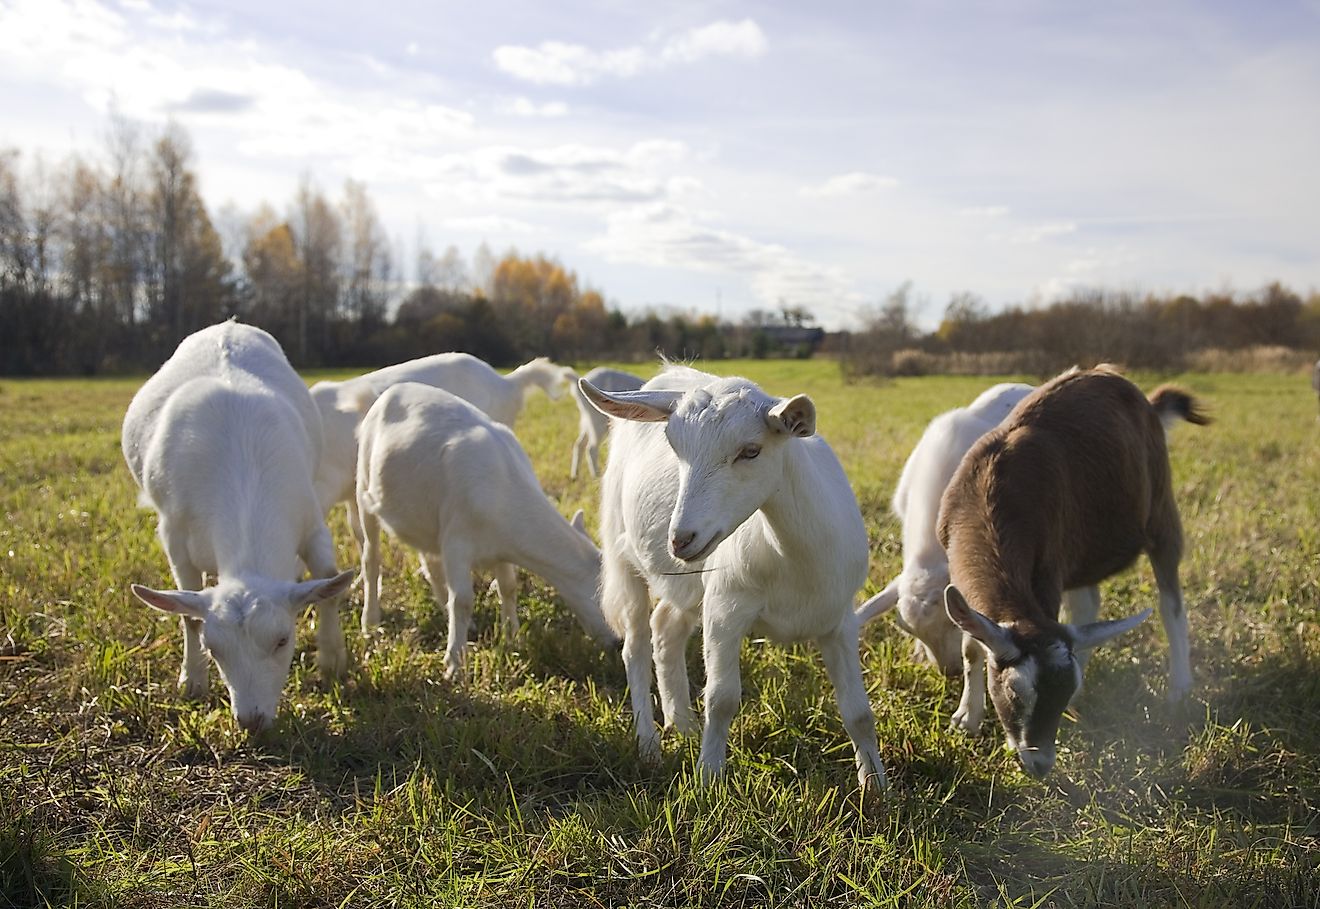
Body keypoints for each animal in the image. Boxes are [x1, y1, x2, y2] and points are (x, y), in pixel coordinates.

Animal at [122, 323, 356, 733]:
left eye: (283, 640)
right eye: (214, 649)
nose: (252, 719)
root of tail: (227, 325)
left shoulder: (311, 520)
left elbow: (328, 580)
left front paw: (332, 662)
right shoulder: (174, 537)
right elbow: (189, 614)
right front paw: (192, 681)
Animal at [351, 379, 617, 672]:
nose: (618, 645)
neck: (504, 489)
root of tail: (388, 393)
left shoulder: (501, 548)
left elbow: (508, 587)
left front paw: (512, 636)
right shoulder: (456, 541)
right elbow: (462, 600)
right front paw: (454, 663)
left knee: (430, 562)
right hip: (364, 488)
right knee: (371, 558)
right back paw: (370, 622)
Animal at [580, 364, 881, 791]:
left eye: (750, 451)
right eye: (675, 447)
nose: (681, 539)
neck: (793, 559)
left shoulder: (840, 618)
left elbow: (858, 711)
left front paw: (875, 786)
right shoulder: (725, 607)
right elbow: (721, 698)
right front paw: (708, 780)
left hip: (690, 582)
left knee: (666, 626)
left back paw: (682, 724)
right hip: (624, 552)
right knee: (635, 644)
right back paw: (649, 744)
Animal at [939, 364, 1209, 775]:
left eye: (1061, 692)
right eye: (1015, 690)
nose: (1040, 764)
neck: (990, 495)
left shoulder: (1048, 569)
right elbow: (972, 644)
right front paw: (966, 718)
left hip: (1162, 511)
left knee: (1170, 602)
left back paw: (1180, 686)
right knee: (1089, 605)